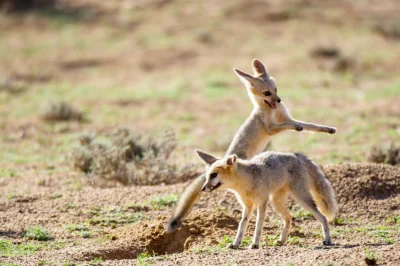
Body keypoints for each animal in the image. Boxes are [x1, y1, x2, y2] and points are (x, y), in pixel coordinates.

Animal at [166, 59, 338, 233]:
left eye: (275, 89)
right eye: (267, 93)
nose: (279, 100)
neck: (272, 111)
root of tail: (225, 155)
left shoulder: (287, 118)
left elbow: (310, 125)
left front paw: (328, 129)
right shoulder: (271, 128)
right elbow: (288, 125)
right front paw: (298, 127)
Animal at [197, 150, 338, 249]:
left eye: (214, 175)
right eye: (207, 176)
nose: (203, 188)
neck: (246, 183)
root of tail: (294, 154)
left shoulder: (262, 203)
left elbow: (258, 226)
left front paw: (255, 244)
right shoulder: (247, 206)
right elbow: (242, 225)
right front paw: (236, 243)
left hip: (302, 198)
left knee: (322, 217)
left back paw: (328, 240)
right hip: (276, 202)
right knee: (289, 217)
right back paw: (282, 240)